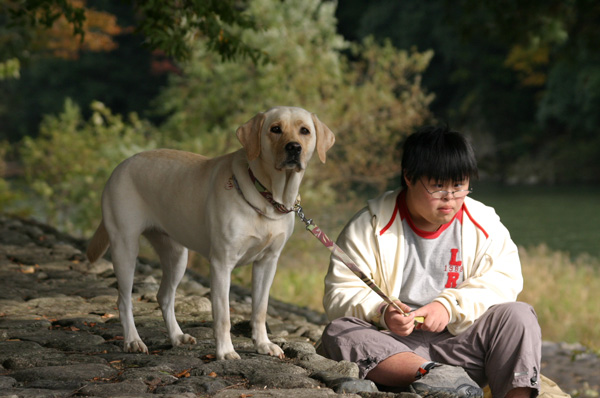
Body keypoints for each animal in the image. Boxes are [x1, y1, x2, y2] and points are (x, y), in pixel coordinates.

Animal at [86, 106, 336, 360]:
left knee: (164, 296)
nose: (294, 147)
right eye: (275, 129)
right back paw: (133, 340)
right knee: (123, 300)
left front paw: (263, 344)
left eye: (304, 131)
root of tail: (121, 165)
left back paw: (177, 336)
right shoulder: (221, 264)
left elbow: (260, 309)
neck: (268, 197)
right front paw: (225, 351)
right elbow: (223, 315)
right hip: (125, 248)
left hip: (177, 256)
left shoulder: (267, 263)